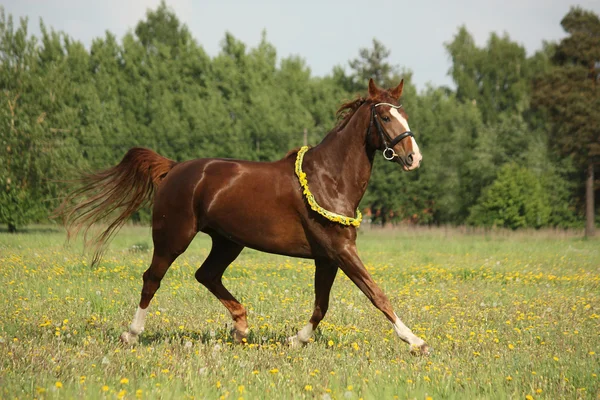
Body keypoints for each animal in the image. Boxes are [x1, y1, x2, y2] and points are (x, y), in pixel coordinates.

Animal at [57, 79, 426, 354]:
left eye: (405, 114)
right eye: (386, 118)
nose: (413, 157)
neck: (329, 178)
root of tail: (174, 169)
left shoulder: (328, 257)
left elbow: (322, 305)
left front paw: (296, 340)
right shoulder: (341, 251)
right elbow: (376, 294)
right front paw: (415, 341)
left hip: (227, 242)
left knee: (206, 274)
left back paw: (241, 326)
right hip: (173, 237)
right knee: (152, 279)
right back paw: (132, 334)